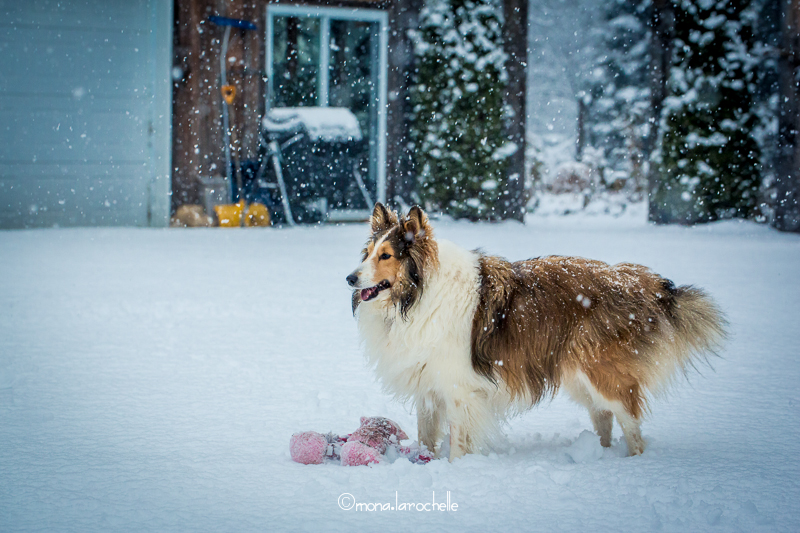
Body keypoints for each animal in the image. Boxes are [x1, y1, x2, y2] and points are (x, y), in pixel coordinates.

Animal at [346, 202, 728, 460]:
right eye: (367, 253)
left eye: (386, 255)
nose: (350, 278)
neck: (417, 295)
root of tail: (638, 280)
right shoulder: (428, 384)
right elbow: (426, 434)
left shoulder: (459, 389)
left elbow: (458, 440)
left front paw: (456, 470)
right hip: (579, 375)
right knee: (604, 416)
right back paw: (601, 456)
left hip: (602, 373)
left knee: (629, 419)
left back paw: (632, 463)